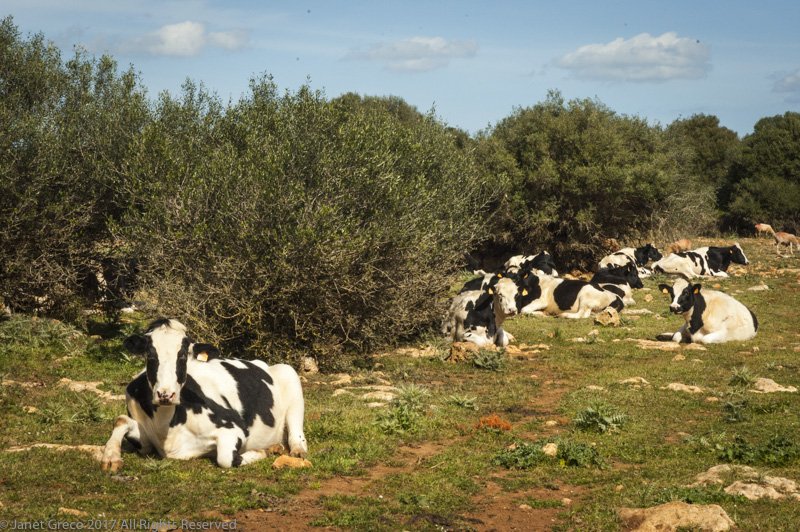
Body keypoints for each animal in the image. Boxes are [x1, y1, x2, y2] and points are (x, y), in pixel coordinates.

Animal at [100, 319, 307, 472]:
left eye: (183, 355)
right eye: (150, 354)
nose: (166, 395)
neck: (165, 426)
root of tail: (259, 362)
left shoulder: (233, 426)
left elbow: (225, 458)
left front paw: (263, 452)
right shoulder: (144, 442)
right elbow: (121, 420)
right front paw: (110, 457)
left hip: (290, 375)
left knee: (296, 433)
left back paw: (295, 450)